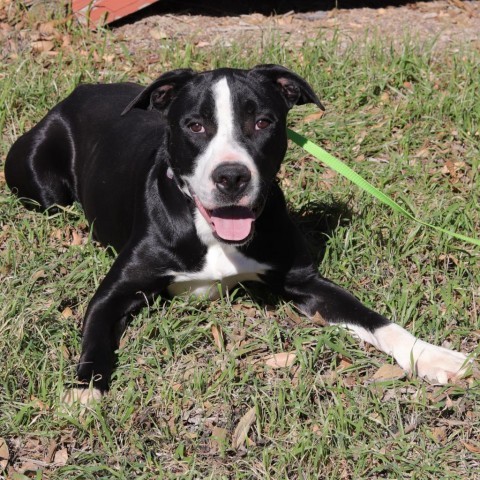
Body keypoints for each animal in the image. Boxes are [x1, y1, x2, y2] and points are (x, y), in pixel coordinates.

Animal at [2, 63, 468, 402]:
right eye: (194, 126)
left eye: (263, 122)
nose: (231, 177)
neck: (211, 234)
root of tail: (80, 91)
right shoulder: (114, 292)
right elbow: (96, 339)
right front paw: (84, 394)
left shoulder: (306, 282)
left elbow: (377, 320)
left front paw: (432, 355)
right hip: (42, 189)